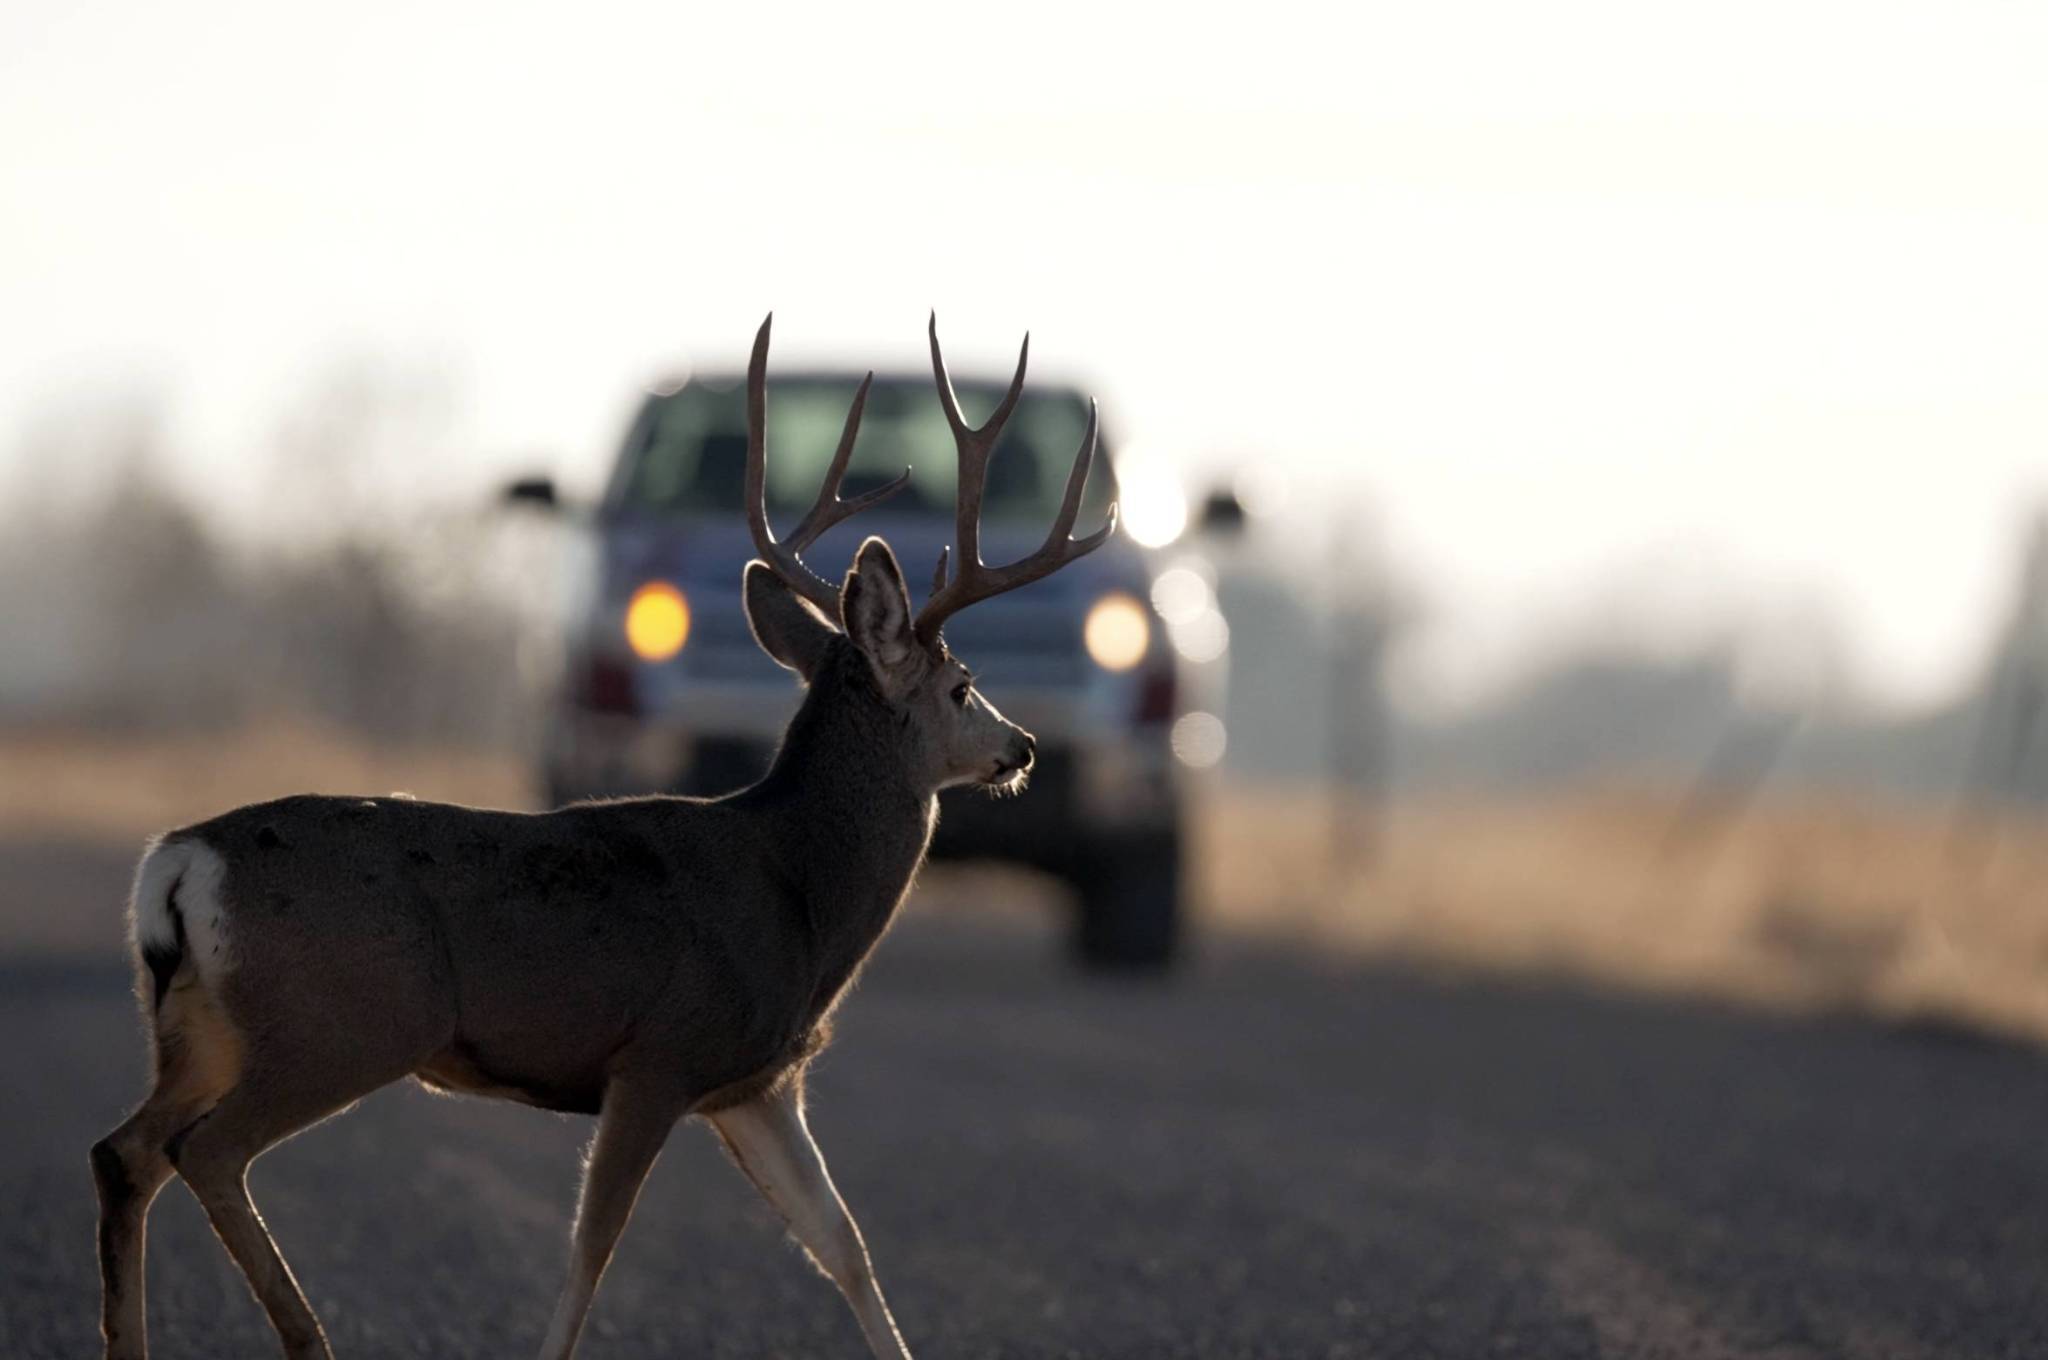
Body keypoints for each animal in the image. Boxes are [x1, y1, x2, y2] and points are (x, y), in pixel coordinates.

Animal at [88, 313, 1122, 1351]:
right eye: (961, 687)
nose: (1023, 746)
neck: (799, 892)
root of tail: (179, 861)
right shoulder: (661, 1053)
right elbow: (593, 1248)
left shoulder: (757, 1082)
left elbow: (844, 1246)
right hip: (342, 1022)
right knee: (205, 1151)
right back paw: (308, 1336)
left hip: (204, 1027)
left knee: (124, 1149)